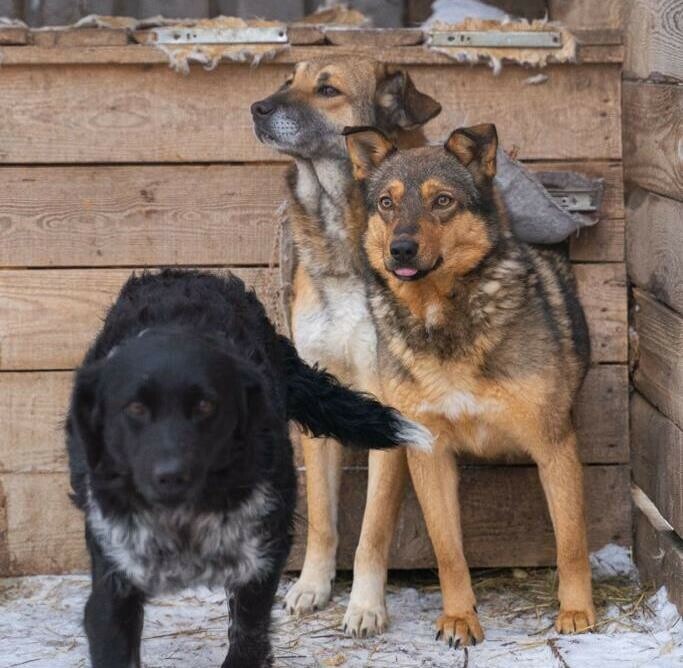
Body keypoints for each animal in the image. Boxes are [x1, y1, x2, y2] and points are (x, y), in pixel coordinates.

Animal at [68, 270, 432, 668]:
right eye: (134, 409)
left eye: (205, 406)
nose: (171, 476)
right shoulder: (113, 577)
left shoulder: (260, 557)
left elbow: (248, 637)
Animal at [250, 58, 438, 628]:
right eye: (287, 80)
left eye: (327, 89)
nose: (256, 107)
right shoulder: (319, 396)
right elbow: (322, 519)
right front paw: (313, 586)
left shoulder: (393, 406)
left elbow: (373, 530)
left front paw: (365, 605)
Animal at [344, 125, 596, 648]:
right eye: (385, 203)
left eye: (442, 201)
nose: (400, 249)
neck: (440, 315)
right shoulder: (428, 451)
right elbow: (447, 551)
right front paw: (460, 617)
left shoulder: (555, 445)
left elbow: (570, 540)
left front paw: (577, 611)